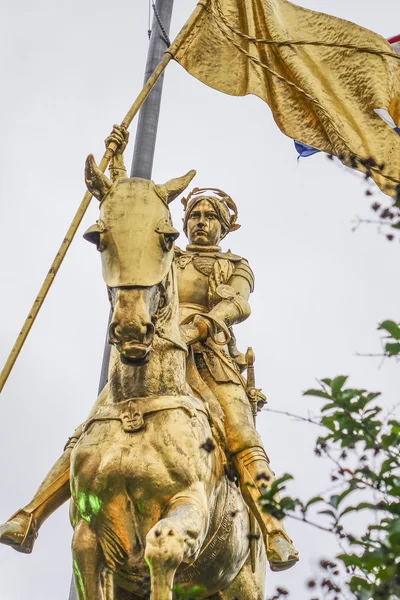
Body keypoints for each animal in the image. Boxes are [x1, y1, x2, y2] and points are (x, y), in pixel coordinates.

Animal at [70, 157, 266, 596]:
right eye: (96, 237)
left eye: (167, 237)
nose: (131, 328)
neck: (136, 405)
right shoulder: (88, 534)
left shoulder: (189, 505)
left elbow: (163, 546)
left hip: (243, 582)